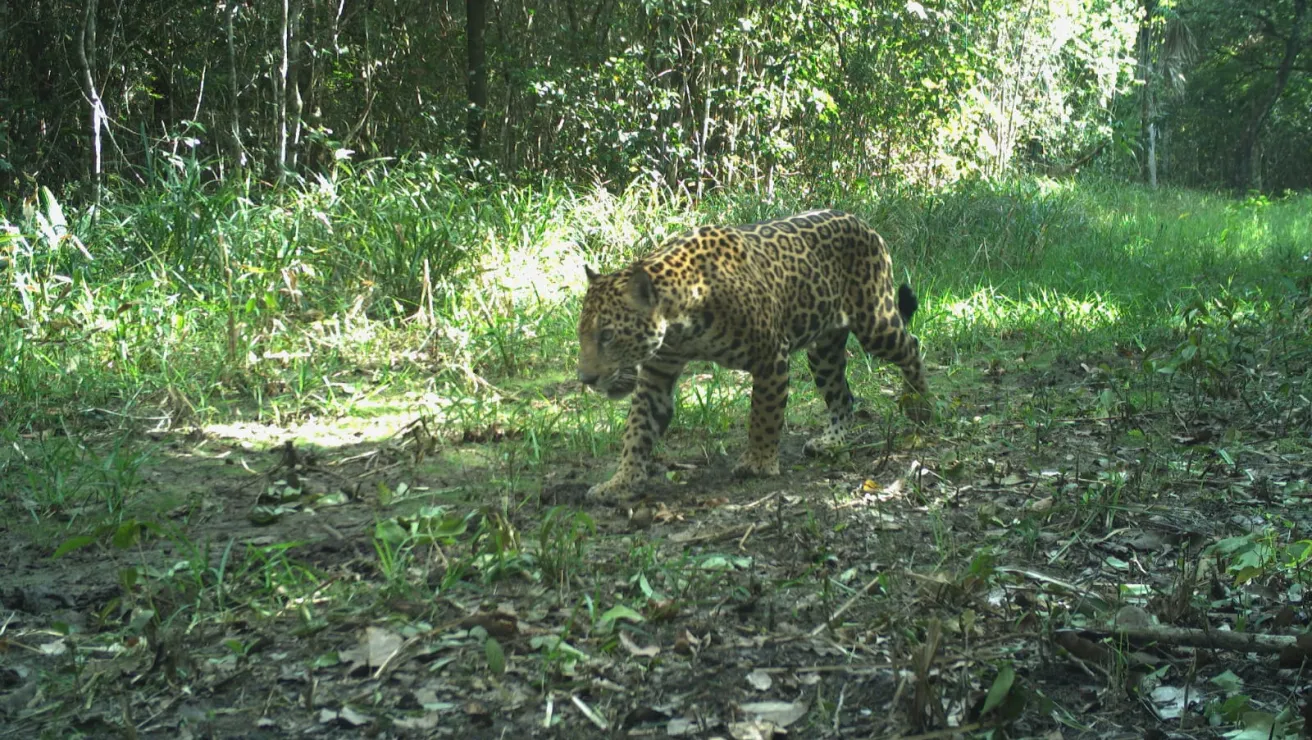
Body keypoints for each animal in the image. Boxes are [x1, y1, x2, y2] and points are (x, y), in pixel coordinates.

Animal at [576, 209, 930, 500]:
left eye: (607, 335)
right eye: (583, 335)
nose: (586, 378)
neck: (680, 322)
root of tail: (863, 223)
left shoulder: (771, 355)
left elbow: (764, 415)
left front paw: (758, 463)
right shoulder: (657, 375)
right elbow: (638, 430)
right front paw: (621, 482)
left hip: (875, 324)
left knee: (911, 344)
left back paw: (920, 407)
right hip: (823, 352)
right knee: (842, 397)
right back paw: (832, 442)